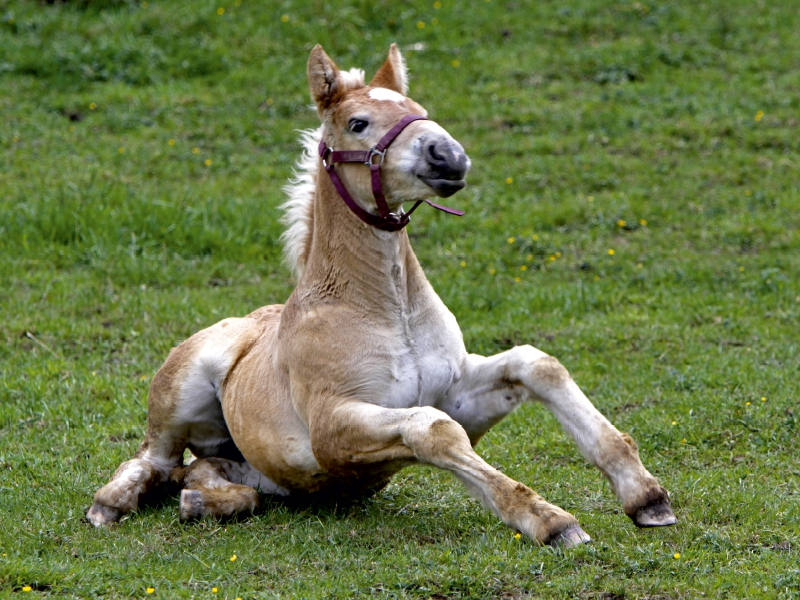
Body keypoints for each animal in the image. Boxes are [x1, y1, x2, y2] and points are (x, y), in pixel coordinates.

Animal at [87, 44, 676, 548]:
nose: (448, 156)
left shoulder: (457, 393)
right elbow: (433, 431)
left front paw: (646, 496)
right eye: (358, 123)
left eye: (418, 110)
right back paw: (109, 504)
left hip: (255, 467)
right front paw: (551, 521)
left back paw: (204, 502)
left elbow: (536, 364)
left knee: (202, 473)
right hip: (182, 391)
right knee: (155, 458)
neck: (387, 308)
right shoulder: (334, 425)